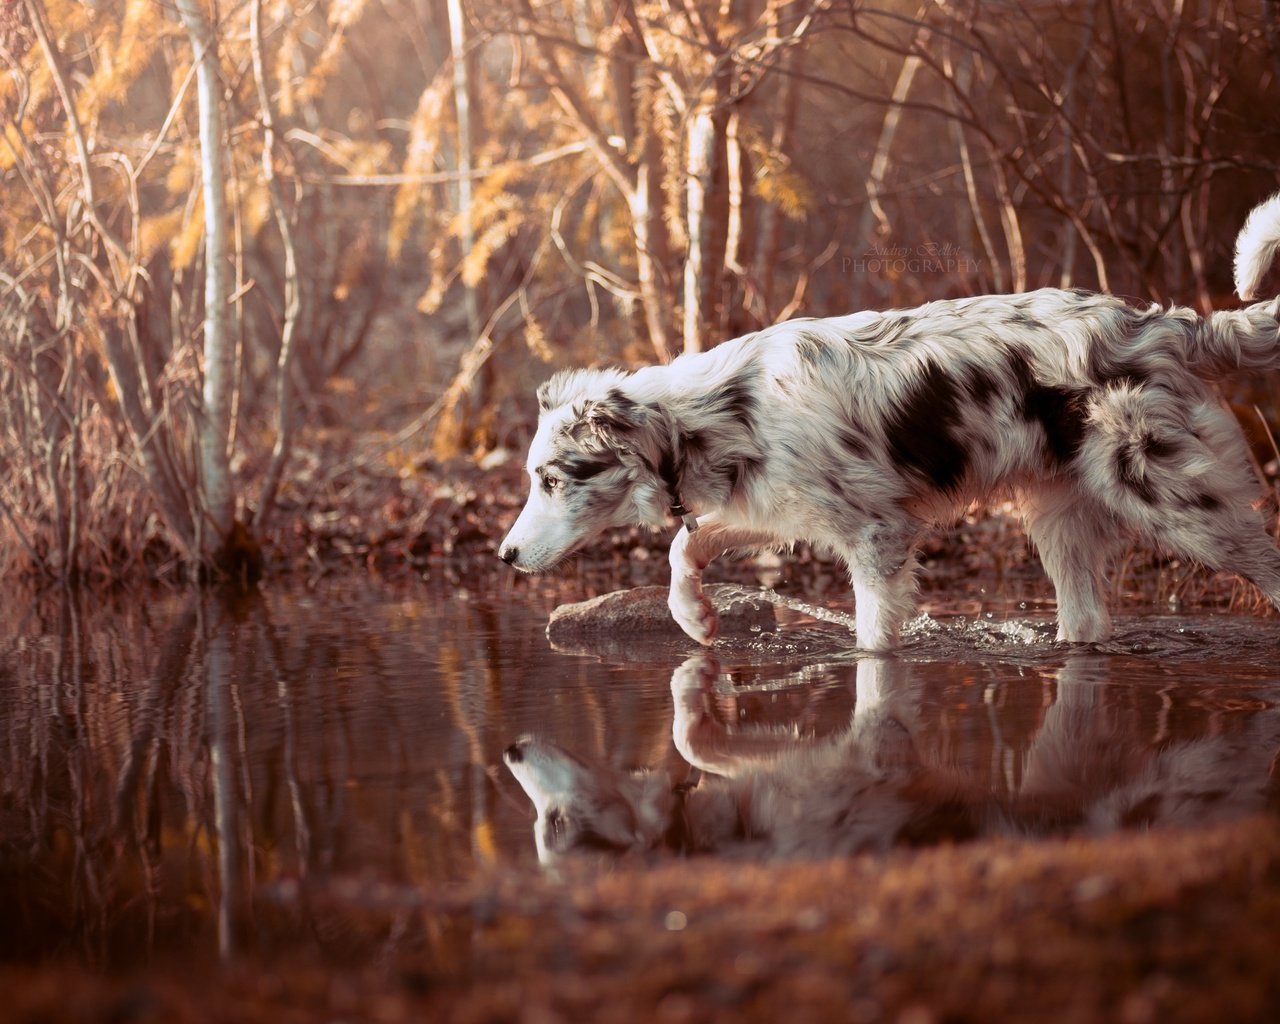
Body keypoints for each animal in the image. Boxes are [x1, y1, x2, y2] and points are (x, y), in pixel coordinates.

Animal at [496, 194, 1280, 647]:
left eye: (552, 481)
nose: (503, 556)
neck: (719, 413)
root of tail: (1168, 323)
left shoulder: (878, 536)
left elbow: (873, 644)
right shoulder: (778, 510)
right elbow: (684, 545)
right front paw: (695, 617)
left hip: (1179, 502)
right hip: (1061, 521)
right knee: (1086, 623)